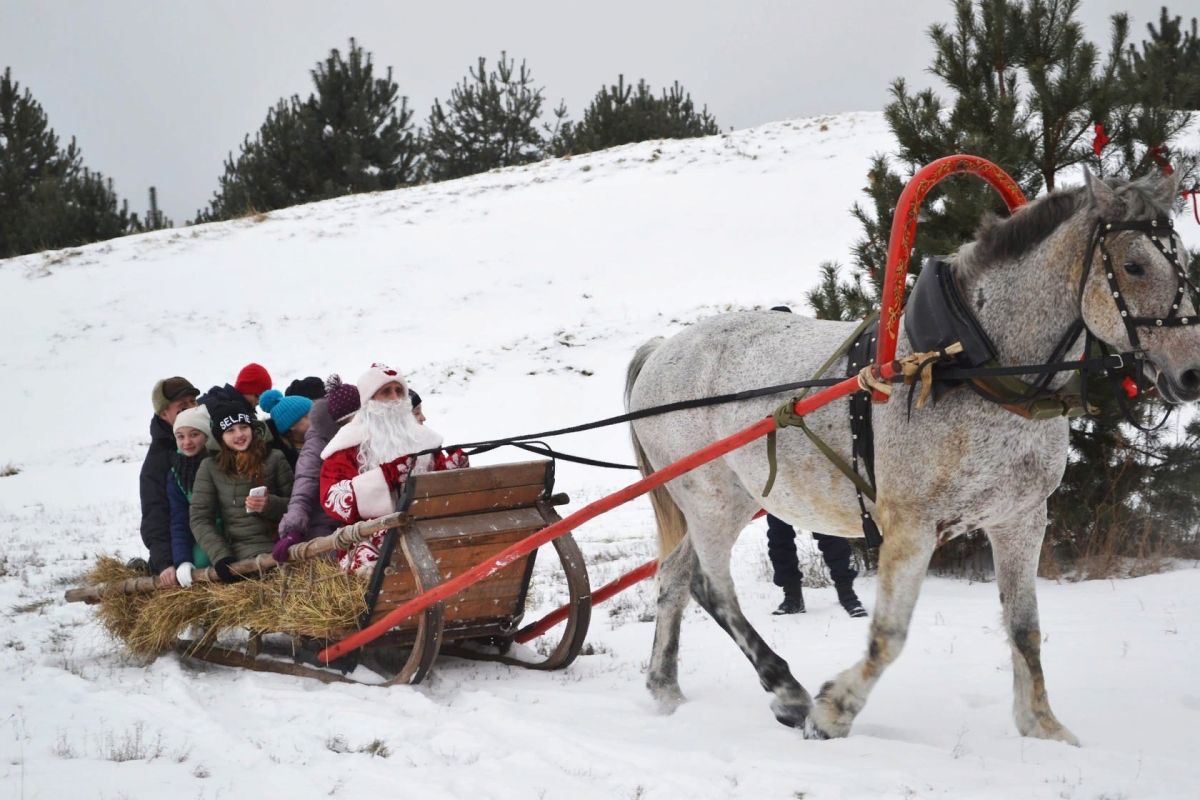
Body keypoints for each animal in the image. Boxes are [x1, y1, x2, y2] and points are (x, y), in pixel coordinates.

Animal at [628, 170, 1200, 743]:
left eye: (1184, 259)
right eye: (1134, 265)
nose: (1193, 373)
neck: (966, 366)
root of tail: (659, 351)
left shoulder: (1020, 519)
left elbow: (1025, 628)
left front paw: (1043, 728)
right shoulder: (910, 525)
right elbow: (890, 634)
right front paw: (833, 712)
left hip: (735, 498)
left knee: (674, 577)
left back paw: (665, 687)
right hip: (712, 497)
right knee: (710, 586)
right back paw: (786, 691)